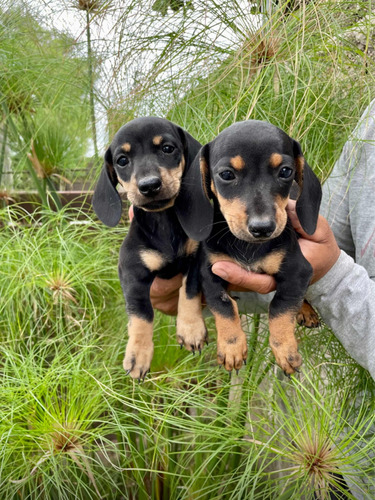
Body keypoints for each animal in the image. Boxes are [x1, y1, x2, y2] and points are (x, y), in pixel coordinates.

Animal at [93, 117, 213, 380]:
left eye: (167, 148)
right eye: (122, 160)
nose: (149, 186)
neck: (163, 221)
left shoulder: (195, 260)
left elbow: (189, 291)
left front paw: (191, 329)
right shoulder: (132, 273)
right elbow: (141, 314)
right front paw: (138, 354)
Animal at [194, 119, 324, 374]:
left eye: (286, 171)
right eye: (226, 174)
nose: (263, 228)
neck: (248, 246)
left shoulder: (298, 270)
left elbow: (281, 305)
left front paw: (285, 349)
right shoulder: (209, 272)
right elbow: (223, 304)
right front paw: (232, 346)